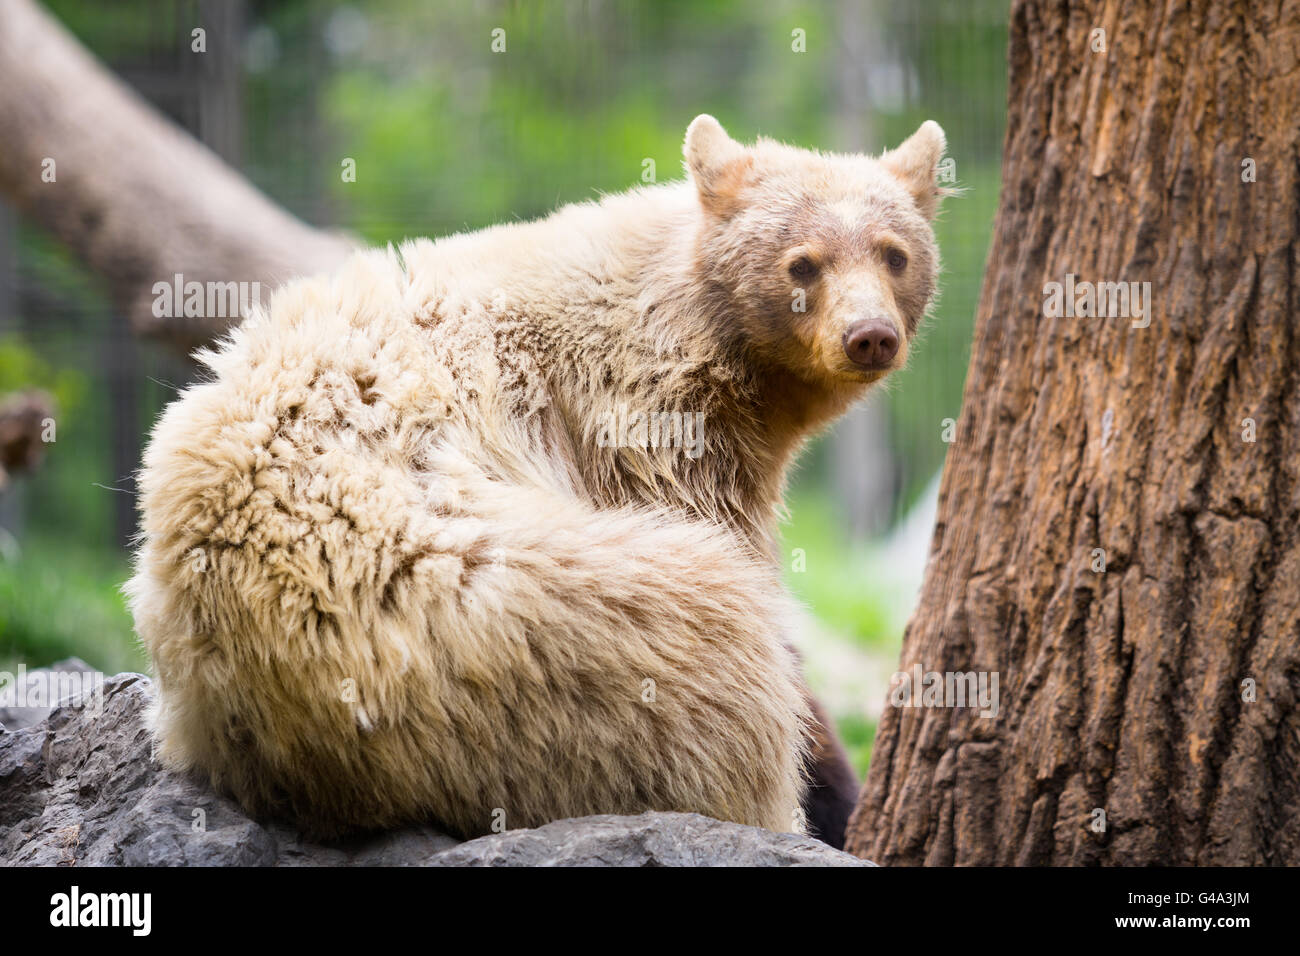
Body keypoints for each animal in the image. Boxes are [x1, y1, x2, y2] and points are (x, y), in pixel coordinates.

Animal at [126, 113, 951, 842]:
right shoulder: (643, 428)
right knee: (714, 660)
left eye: (893, 252)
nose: (869, 335)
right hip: (525, 620)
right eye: (803, 261)